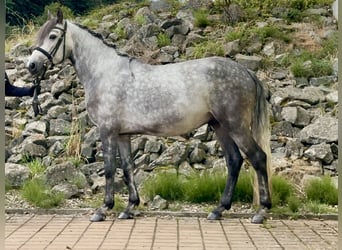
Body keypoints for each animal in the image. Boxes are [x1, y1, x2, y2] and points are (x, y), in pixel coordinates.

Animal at [26, 9, 272, 224]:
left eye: (53, 36)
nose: (32, 65)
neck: (105, 73)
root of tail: (246, 72)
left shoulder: (107, 131)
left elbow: (109, 169)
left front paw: (103, 209)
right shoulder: (122, 134)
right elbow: (127, 169)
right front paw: (129, 208)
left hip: (235, 126)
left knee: (258, 158)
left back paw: (261, 212)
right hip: (219, 126)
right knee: (234, 161)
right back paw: (218, 210)